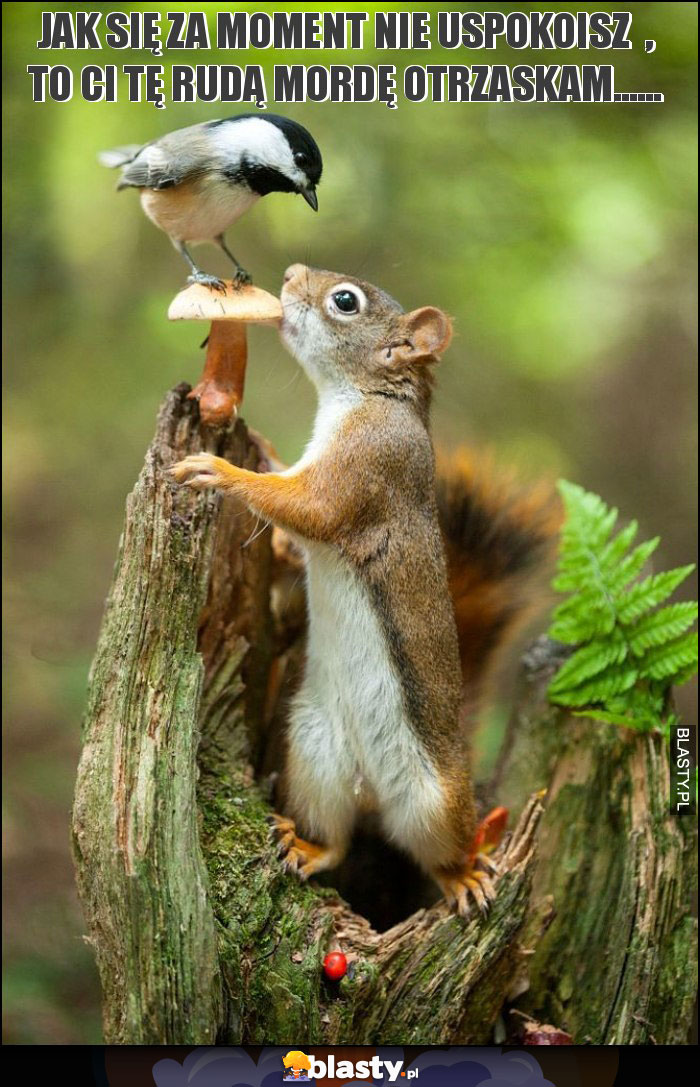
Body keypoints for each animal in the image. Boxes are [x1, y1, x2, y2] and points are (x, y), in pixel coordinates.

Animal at [171, 265, 560, 917]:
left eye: (345, 301)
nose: (289, 276)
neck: (366, 398)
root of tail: (372, 791)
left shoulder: (367, 467)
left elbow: (307, 508)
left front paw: (220, 472)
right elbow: (293, 527)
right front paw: (264, 456)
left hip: (435, 799)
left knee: (440, 851)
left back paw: (464, 876)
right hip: (314, 755)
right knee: (338, 839)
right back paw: (307, 846)